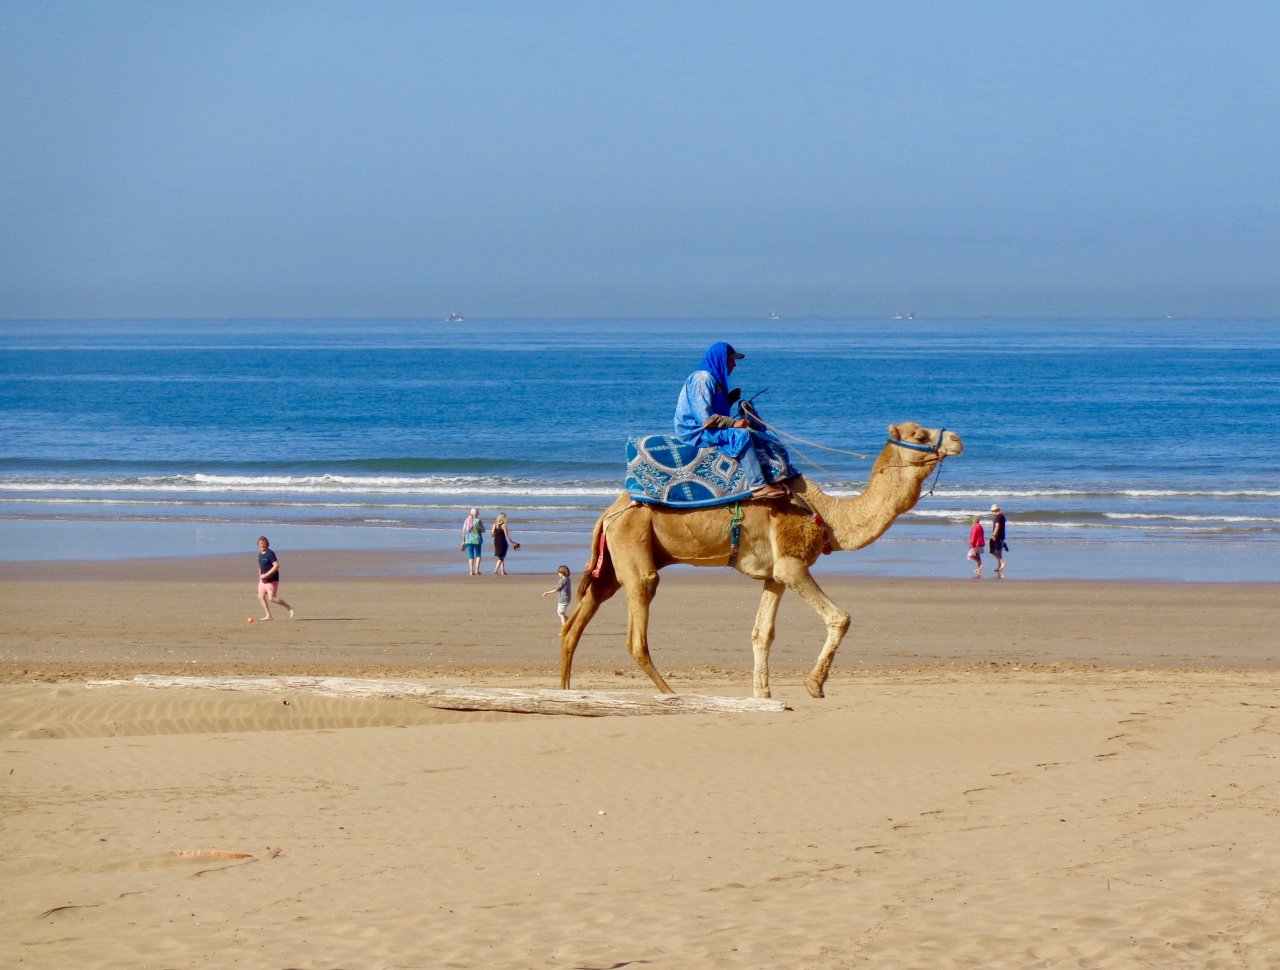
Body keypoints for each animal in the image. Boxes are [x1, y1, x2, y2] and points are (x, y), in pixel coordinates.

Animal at [560, 424, 962, 701]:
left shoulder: (775, 575)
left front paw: (763, 695)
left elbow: (761, 632)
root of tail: (610, 511)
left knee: (576, 622)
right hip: (634, 547)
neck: (828, 516)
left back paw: (564, 692)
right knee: (636, 632)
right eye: (919, 433)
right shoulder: (792, 563)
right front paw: (814, 684)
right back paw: (671, 693)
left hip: (613, 561)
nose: (957, 438)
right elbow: (840, 617)